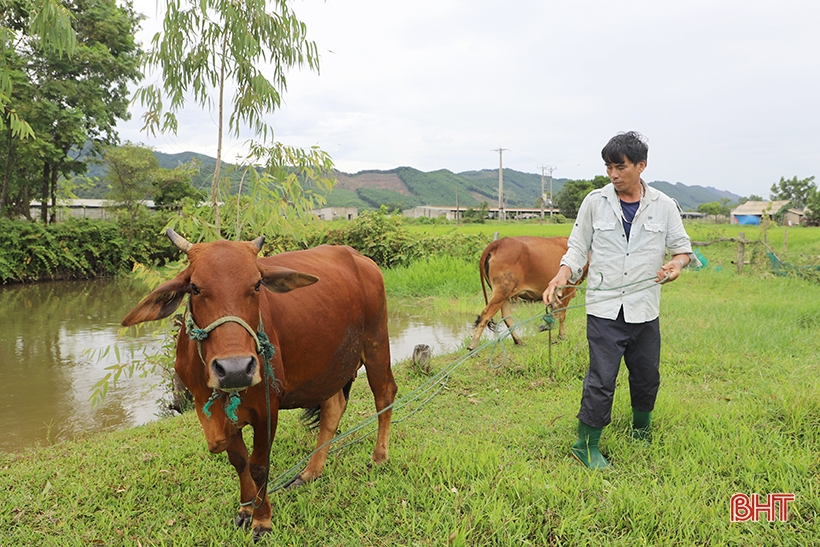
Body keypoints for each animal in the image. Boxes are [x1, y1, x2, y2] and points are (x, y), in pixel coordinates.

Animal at [122, 229, 400, 540]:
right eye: (194, 287)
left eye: (256, 285)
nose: (235, 369)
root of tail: (360, 258)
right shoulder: (212, 408)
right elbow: (238, 460)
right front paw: (246, 508)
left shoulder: (267, 408)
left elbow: (258, 466)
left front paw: (262, 519)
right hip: (329, 369)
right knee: (333, 409)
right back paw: (310, 472)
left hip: (376, 344)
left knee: (385, 395)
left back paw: (379, 457)